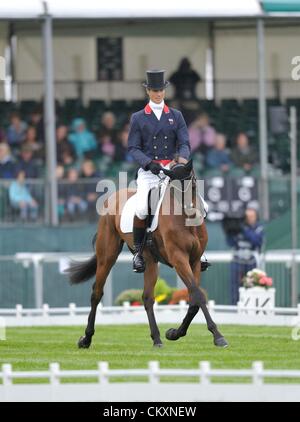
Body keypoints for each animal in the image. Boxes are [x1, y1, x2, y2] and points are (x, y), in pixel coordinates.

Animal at [66, 160, 227, 348]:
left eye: (193, 184)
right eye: (174, 188)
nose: (192, 212)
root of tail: (113, 198)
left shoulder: (193, 261)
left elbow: (194, 300)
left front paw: (174, 333)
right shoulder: (179, 259)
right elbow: (198, 295)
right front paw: (218, 336)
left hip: (150, 261)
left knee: (147, 297)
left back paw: (156, 338)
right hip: (107, 256)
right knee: (97, 293)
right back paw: (86, 338)